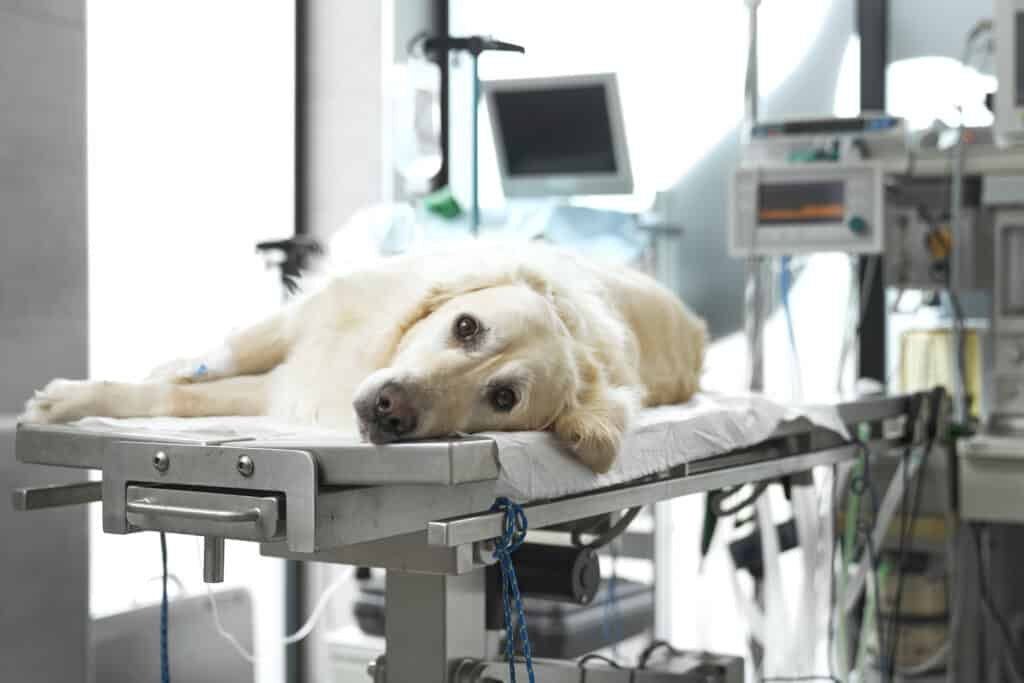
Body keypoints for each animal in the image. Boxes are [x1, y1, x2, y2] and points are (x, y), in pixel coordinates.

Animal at [19, 242, 708, 473]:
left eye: (503, 398)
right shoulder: (309, 323)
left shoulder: (287, 388)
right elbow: (205, 365)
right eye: (466, 327)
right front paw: (75, 396)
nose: (390, 409)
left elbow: (183, 397)